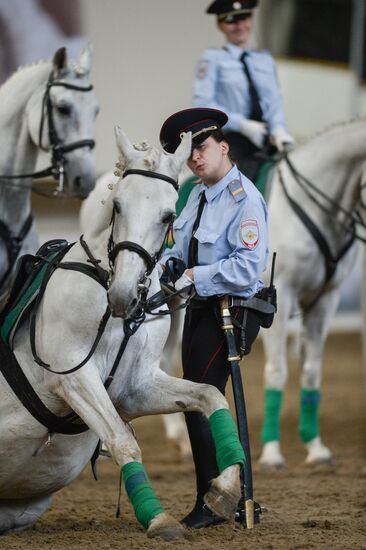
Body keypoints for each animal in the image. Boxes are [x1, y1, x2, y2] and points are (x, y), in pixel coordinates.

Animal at [2, 128, 246, 540]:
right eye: (117, 205)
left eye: (169, 215)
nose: (123, 294)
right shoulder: (74, 379)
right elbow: (122, 441)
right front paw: (159, 518)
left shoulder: (135, 388)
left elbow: (210, 396)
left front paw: (225, 491)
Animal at [258, 119, 366, 470]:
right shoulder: (278, 301)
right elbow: (277, 372)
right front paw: (271, 452)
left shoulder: (325, 300)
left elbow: (311, 372)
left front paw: (315, 447)